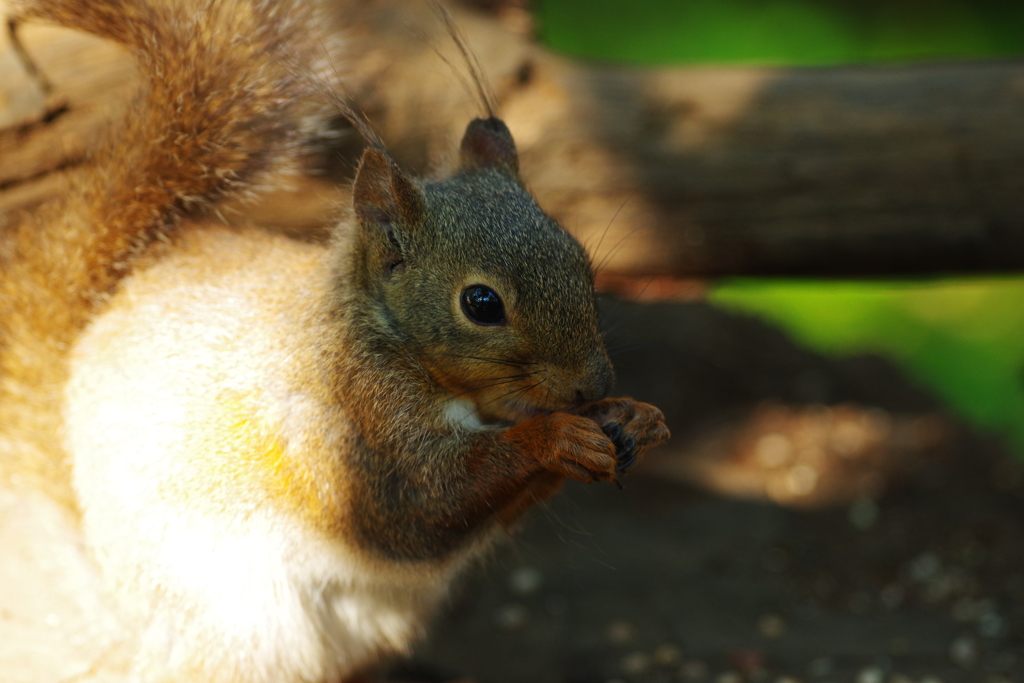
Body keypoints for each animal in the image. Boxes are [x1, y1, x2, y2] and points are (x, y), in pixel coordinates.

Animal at [0, 0, 667, 679]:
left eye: (580, 259)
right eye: (481, 304)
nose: (594, 383)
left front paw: (632, 416)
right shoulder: (352, 433)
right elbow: (423, 506)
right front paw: (556, 437)